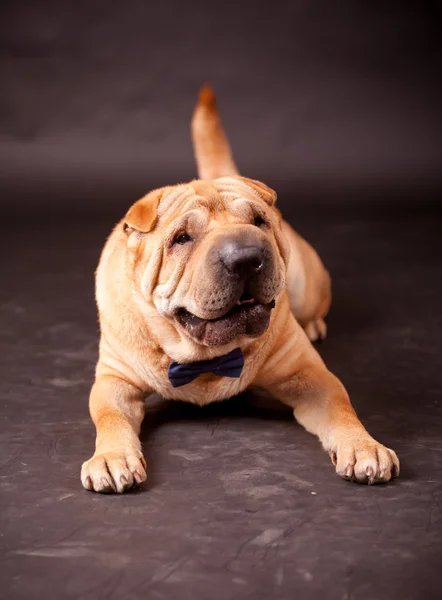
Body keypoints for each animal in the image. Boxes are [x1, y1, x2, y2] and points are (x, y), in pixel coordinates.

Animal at [81, 88, 398, 492]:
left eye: (259, 221)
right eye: (182, 238)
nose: (246, 256)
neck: (206, 357)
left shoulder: (308, 375)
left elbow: (342, 407)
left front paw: (364, 447)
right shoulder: (114, 380)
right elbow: (109, 417)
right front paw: (111, 457)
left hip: (307, 283)